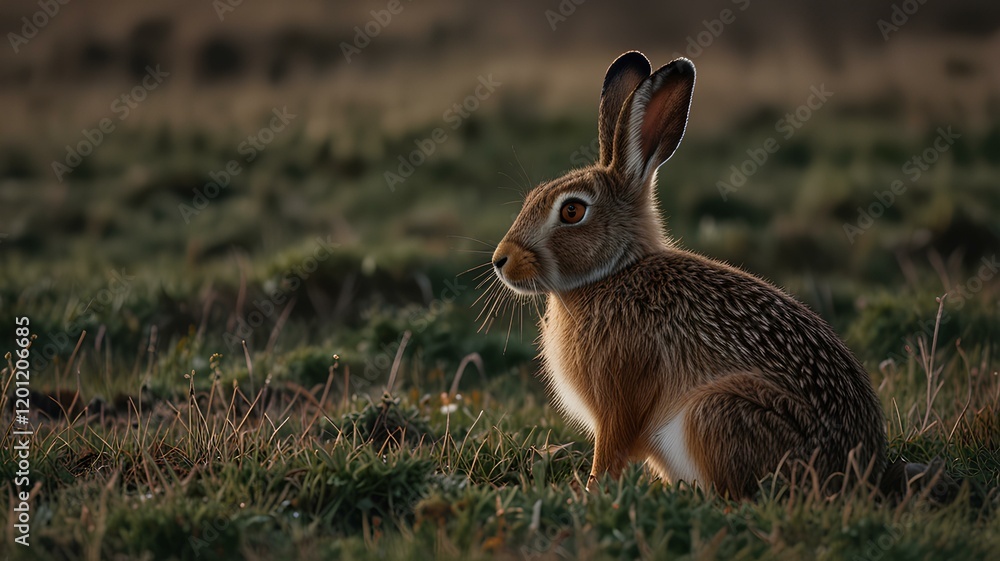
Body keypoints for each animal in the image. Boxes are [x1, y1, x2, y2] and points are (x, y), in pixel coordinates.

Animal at [489, 51, 889, 499]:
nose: (500, 260)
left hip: (715, 413)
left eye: (572, 211)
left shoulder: (620, 395)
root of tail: (859, 475)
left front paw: (590, 493)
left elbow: (611, 451)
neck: (612, 275)